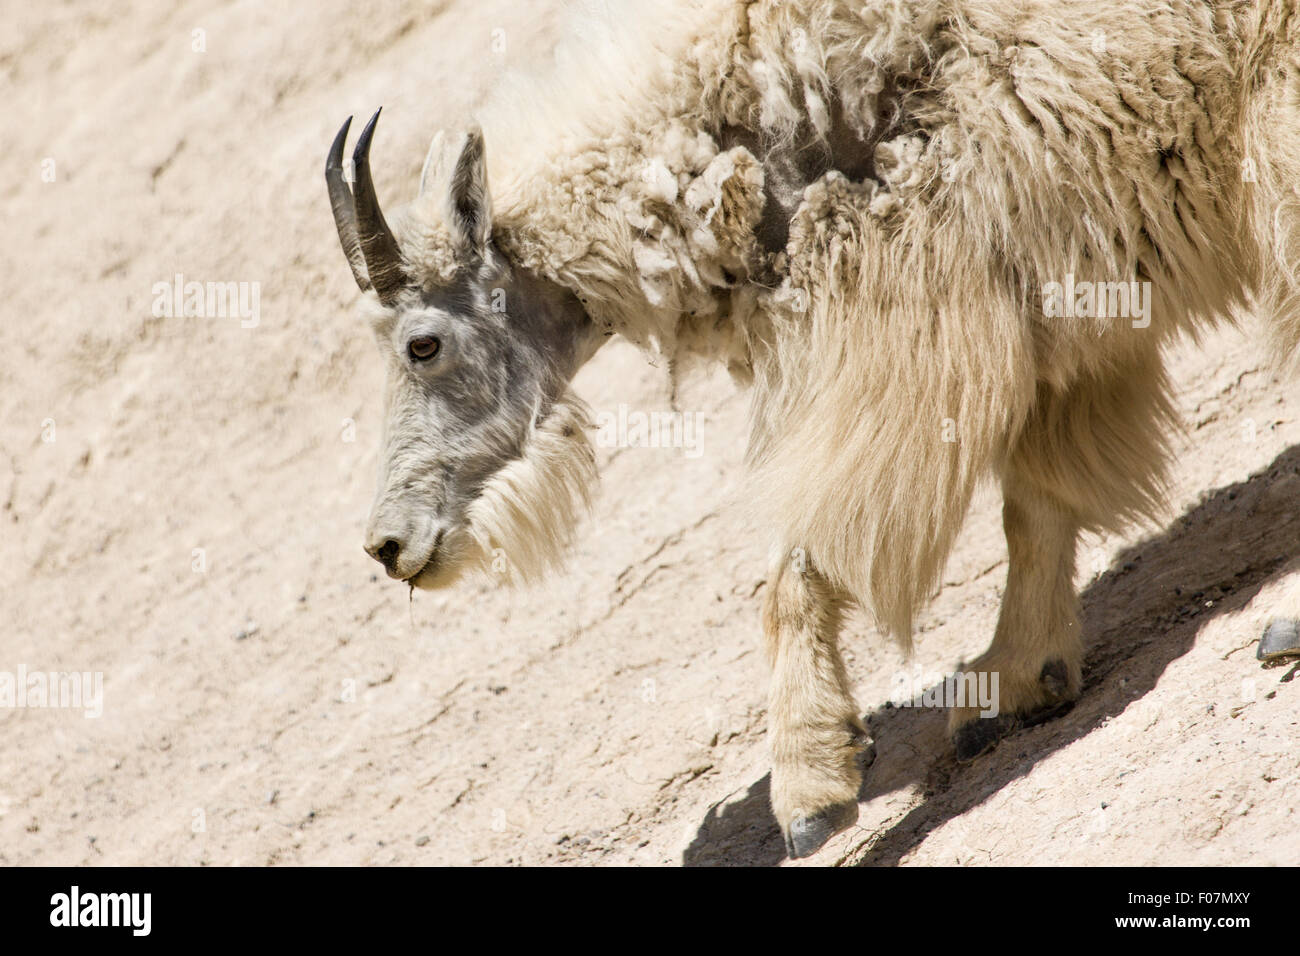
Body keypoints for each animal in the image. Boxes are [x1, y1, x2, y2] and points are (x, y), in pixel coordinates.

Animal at [322, 0, 1300, 858]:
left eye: (421, 343)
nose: (387, 545)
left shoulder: (902, 331)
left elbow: (800, 561)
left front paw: (809, 791)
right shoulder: (1050, 308)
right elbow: (1037, 503)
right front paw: (1018, 680)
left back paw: (1283, 624)